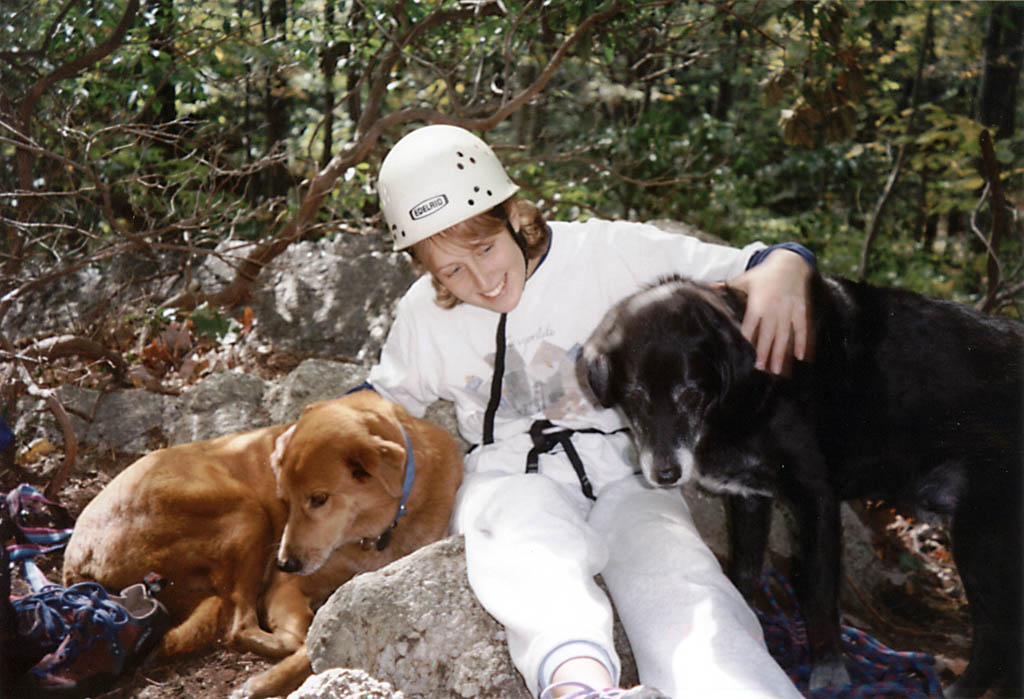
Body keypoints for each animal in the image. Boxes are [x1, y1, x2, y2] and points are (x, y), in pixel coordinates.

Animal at [61, 390, 462, 695]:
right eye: (284, 498)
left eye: (319, 499)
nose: (284, 563)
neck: (376, 533)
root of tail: (74, 560)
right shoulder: (288, 584)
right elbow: (312, 636)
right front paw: (268, 680)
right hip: (246, 513)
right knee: (238, 627)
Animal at [581, 274, 1019, 699]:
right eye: (636, 396)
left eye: (690, 394)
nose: (665, 475)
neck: (750, 386)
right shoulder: (750, 499)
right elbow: (744, 574)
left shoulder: (816, 498)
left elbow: (819, 594)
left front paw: (828, 673)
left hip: (980, 540)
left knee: (996, 637)